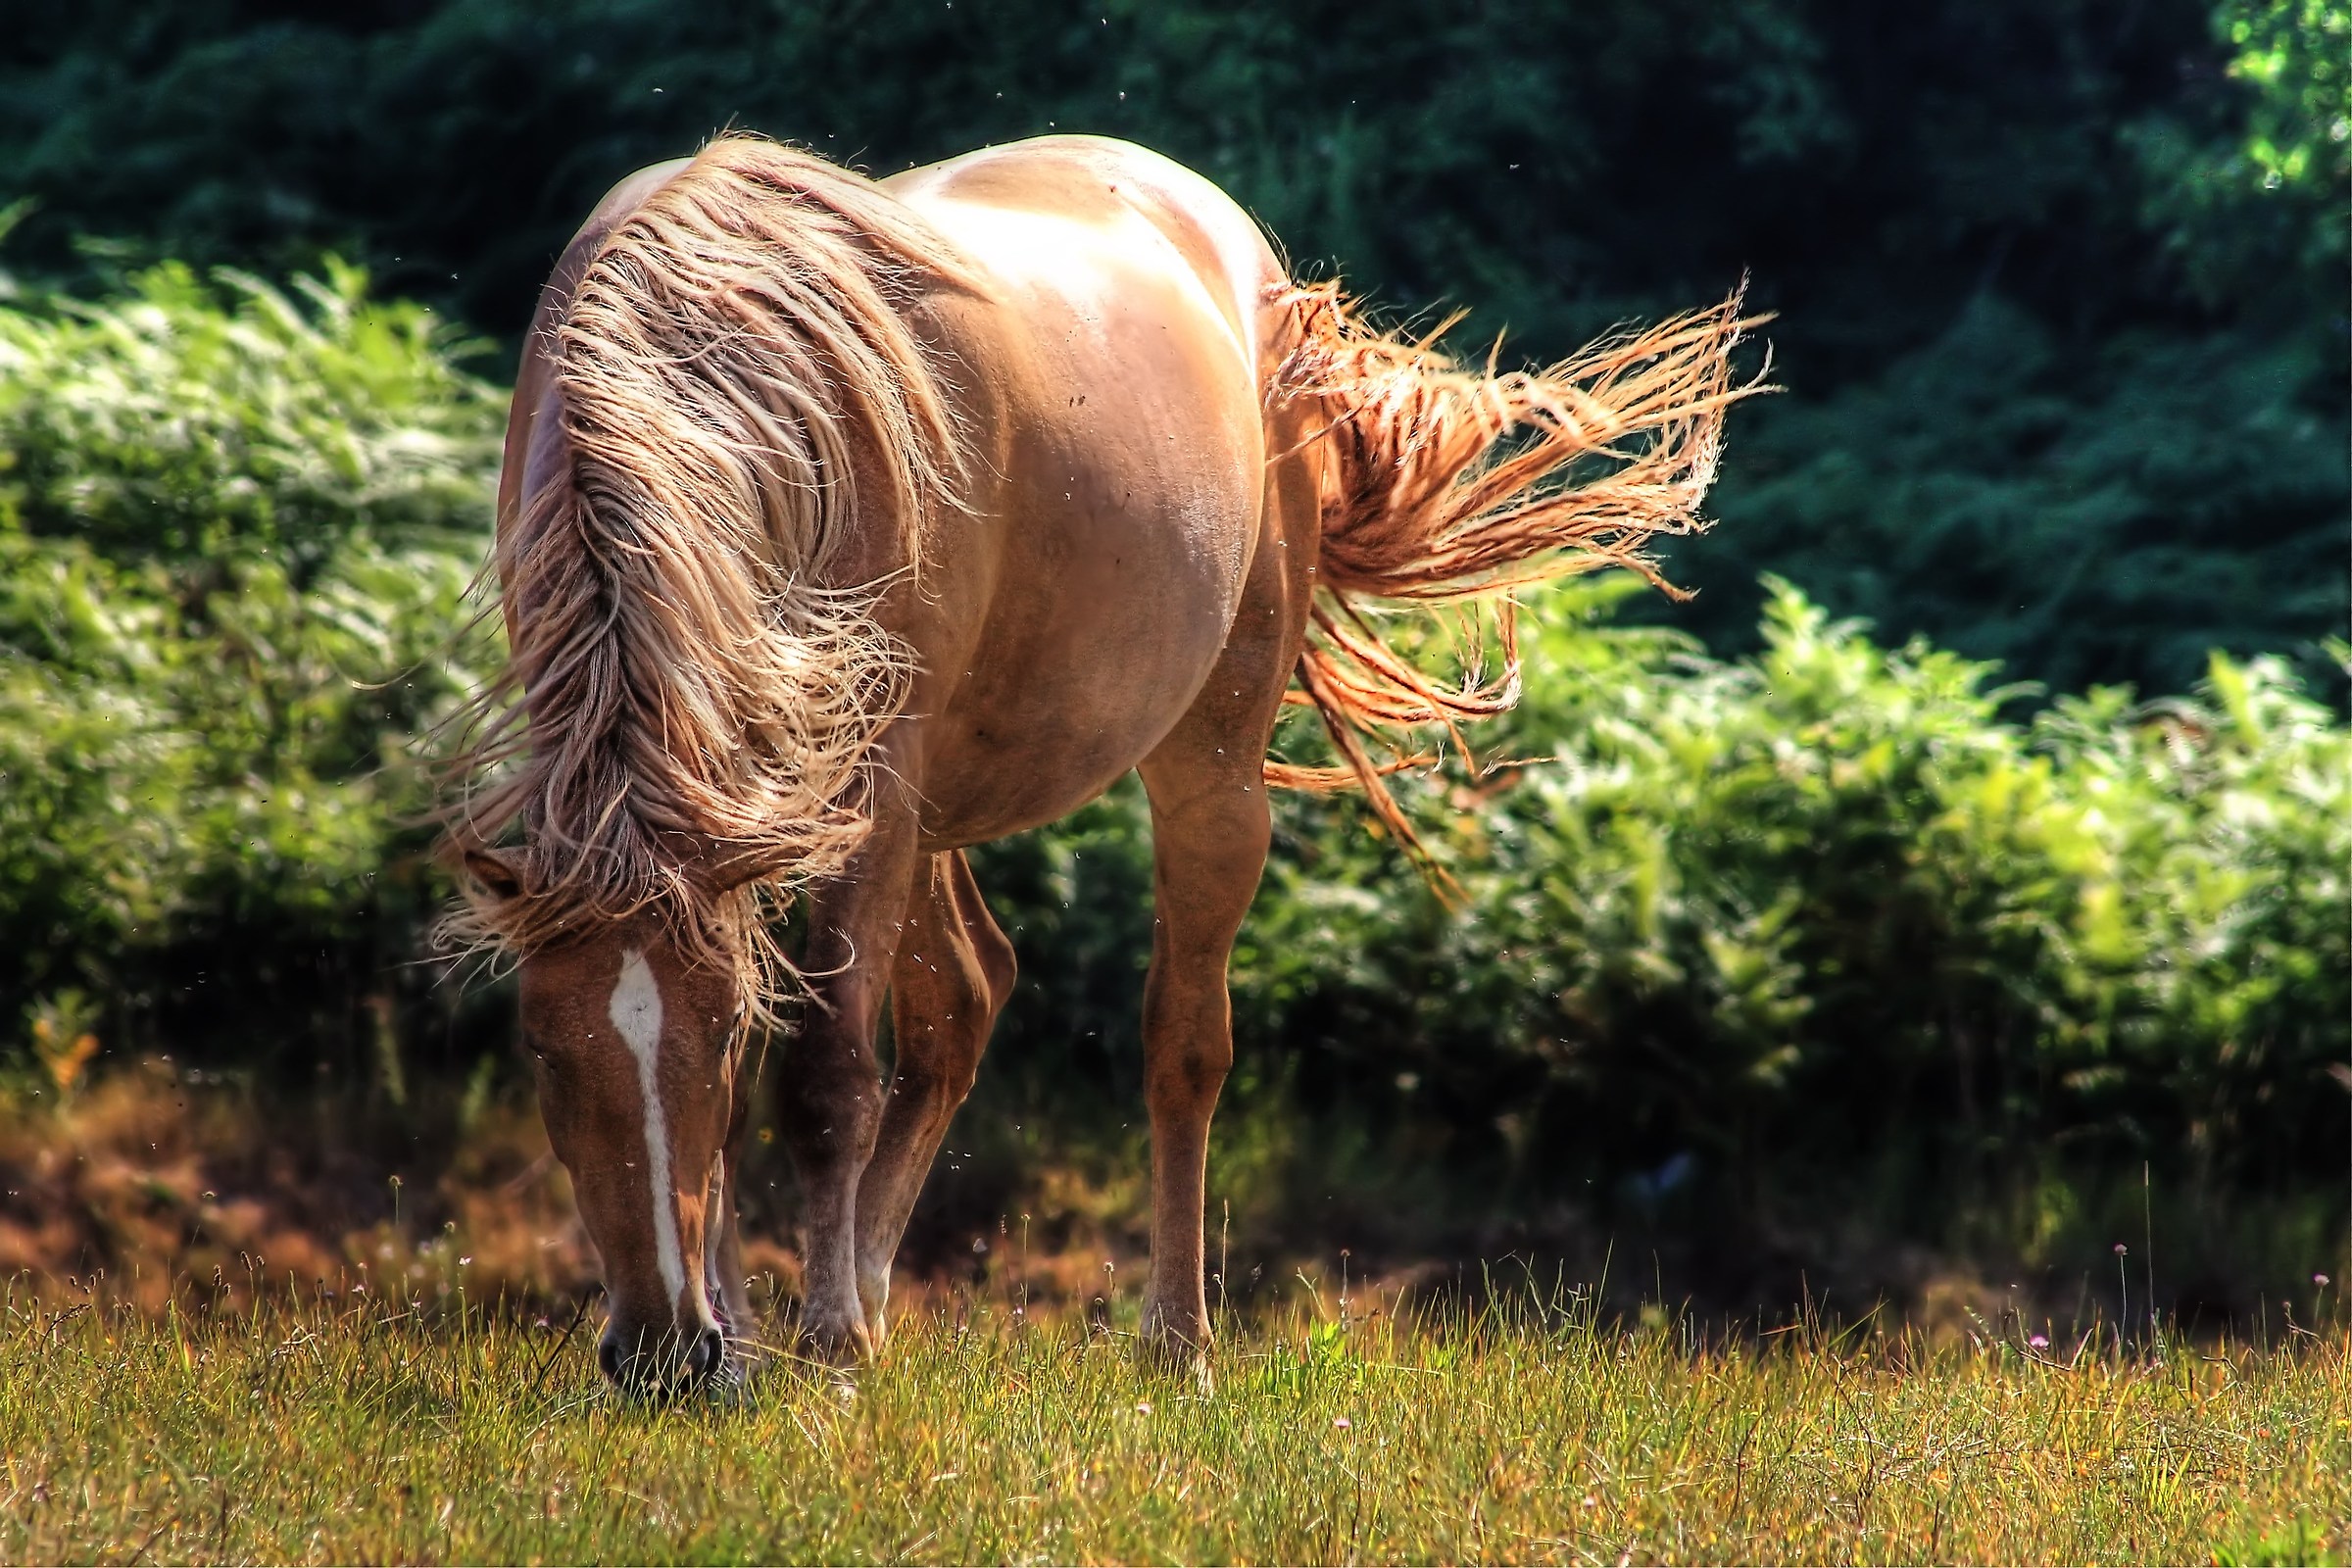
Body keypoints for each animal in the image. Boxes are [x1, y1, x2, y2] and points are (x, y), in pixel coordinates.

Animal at [441, 132, 1753, 1393]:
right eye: (544, 1053)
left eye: (704, 1046)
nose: (663, 1354)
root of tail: (1241, 255)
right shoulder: (755, 798)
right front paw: (759, 1347)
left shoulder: (864, 792)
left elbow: (820, 1077)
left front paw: (829, 1356)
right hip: (938, 810)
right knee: (964, 1003)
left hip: (1197, 768)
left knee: (1183, 1045)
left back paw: (1173, 1343)